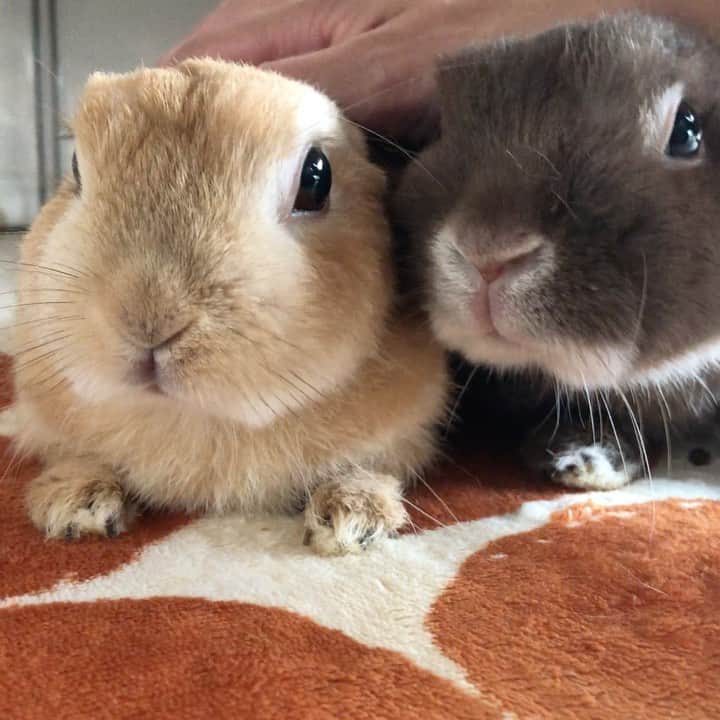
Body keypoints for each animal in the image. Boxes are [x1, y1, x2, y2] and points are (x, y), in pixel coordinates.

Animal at [13, 59, 449, 555]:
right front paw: (74, 504)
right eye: (74, 169)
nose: (150, 320)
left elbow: (373, 466)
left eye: (316, 176)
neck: (198, 419)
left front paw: (353, 517)